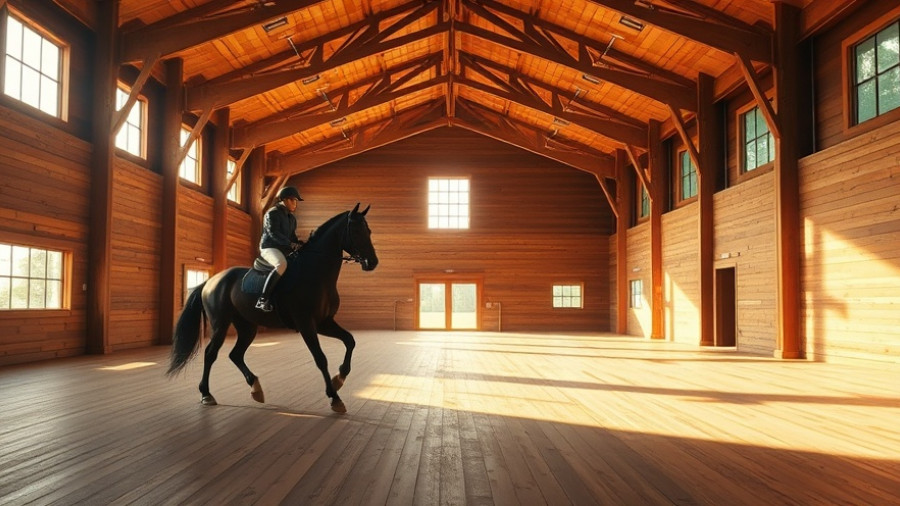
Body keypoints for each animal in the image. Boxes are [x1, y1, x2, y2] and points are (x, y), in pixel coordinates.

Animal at [166, 203, 378, 413]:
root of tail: (211, 281)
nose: (372, 262)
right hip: (220, 325)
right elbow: (320, 358)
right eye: (356, 231)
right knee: (211, 354)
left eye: (369, 230)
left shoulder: (324, 322)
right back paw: (206, 394)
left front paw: (339, 378)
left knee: (235, 354)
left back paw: (255, 388)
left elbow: (350, 341)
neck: (316, 273)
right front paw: (334, 397)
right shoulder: (306, 324)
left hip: (247, 327)